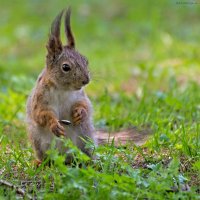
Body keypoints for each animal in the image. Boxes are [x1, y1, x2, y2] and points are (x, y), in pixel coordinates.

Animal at [26, 7, 97, 165]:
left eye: (86, 60)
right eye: (65, 67)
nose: (86, 81)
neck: (63, 89)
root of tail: (64, 158)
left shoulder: (80, 96)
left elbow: (86, 105)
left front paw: (80, 112)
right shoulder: (40, 100)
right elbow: (41, 114)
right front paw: (54, 125)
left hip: (86, 136)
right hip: (38, 141)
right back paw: (39, 163)